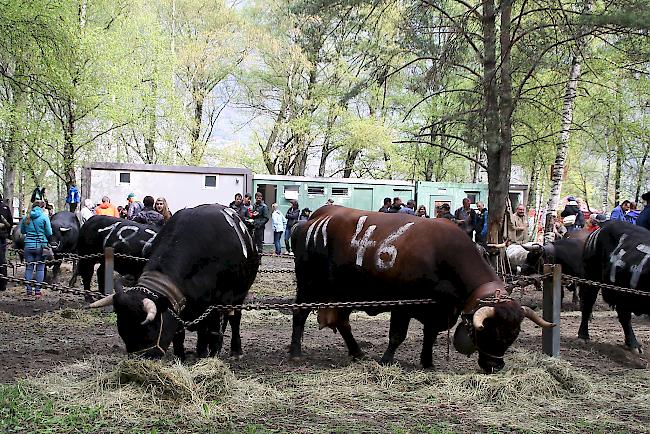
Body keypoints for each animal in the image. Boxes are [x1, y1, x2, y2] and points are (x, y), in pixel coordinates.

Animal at [89, 205, 260, 362]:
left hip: (239, 296)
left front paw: (208, 354)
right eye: (123, 331)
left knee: (234, 320)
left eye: (148, 329)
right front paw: (181, 356)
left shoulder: (217, 303)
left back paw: (234, 350)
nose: (140, 358)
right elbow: (180, 333)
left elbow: (209, 329)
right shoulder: (181, 304)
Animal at [288, 205, 552, 372]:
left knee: (343, 323)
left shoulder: (437, 309)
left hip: (344, 293)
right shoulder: (403, 304)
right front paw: (386, 360)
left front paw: (427, 362)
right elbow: (397, 335)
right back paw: (296, 352)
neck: (442, 255)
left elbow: (430, 335)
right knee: (300, 313)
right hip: (308, 286)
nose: (495, 366)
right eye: (491, 331)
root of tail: (314, 218)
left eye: (513, 335)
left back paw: (357, 352)